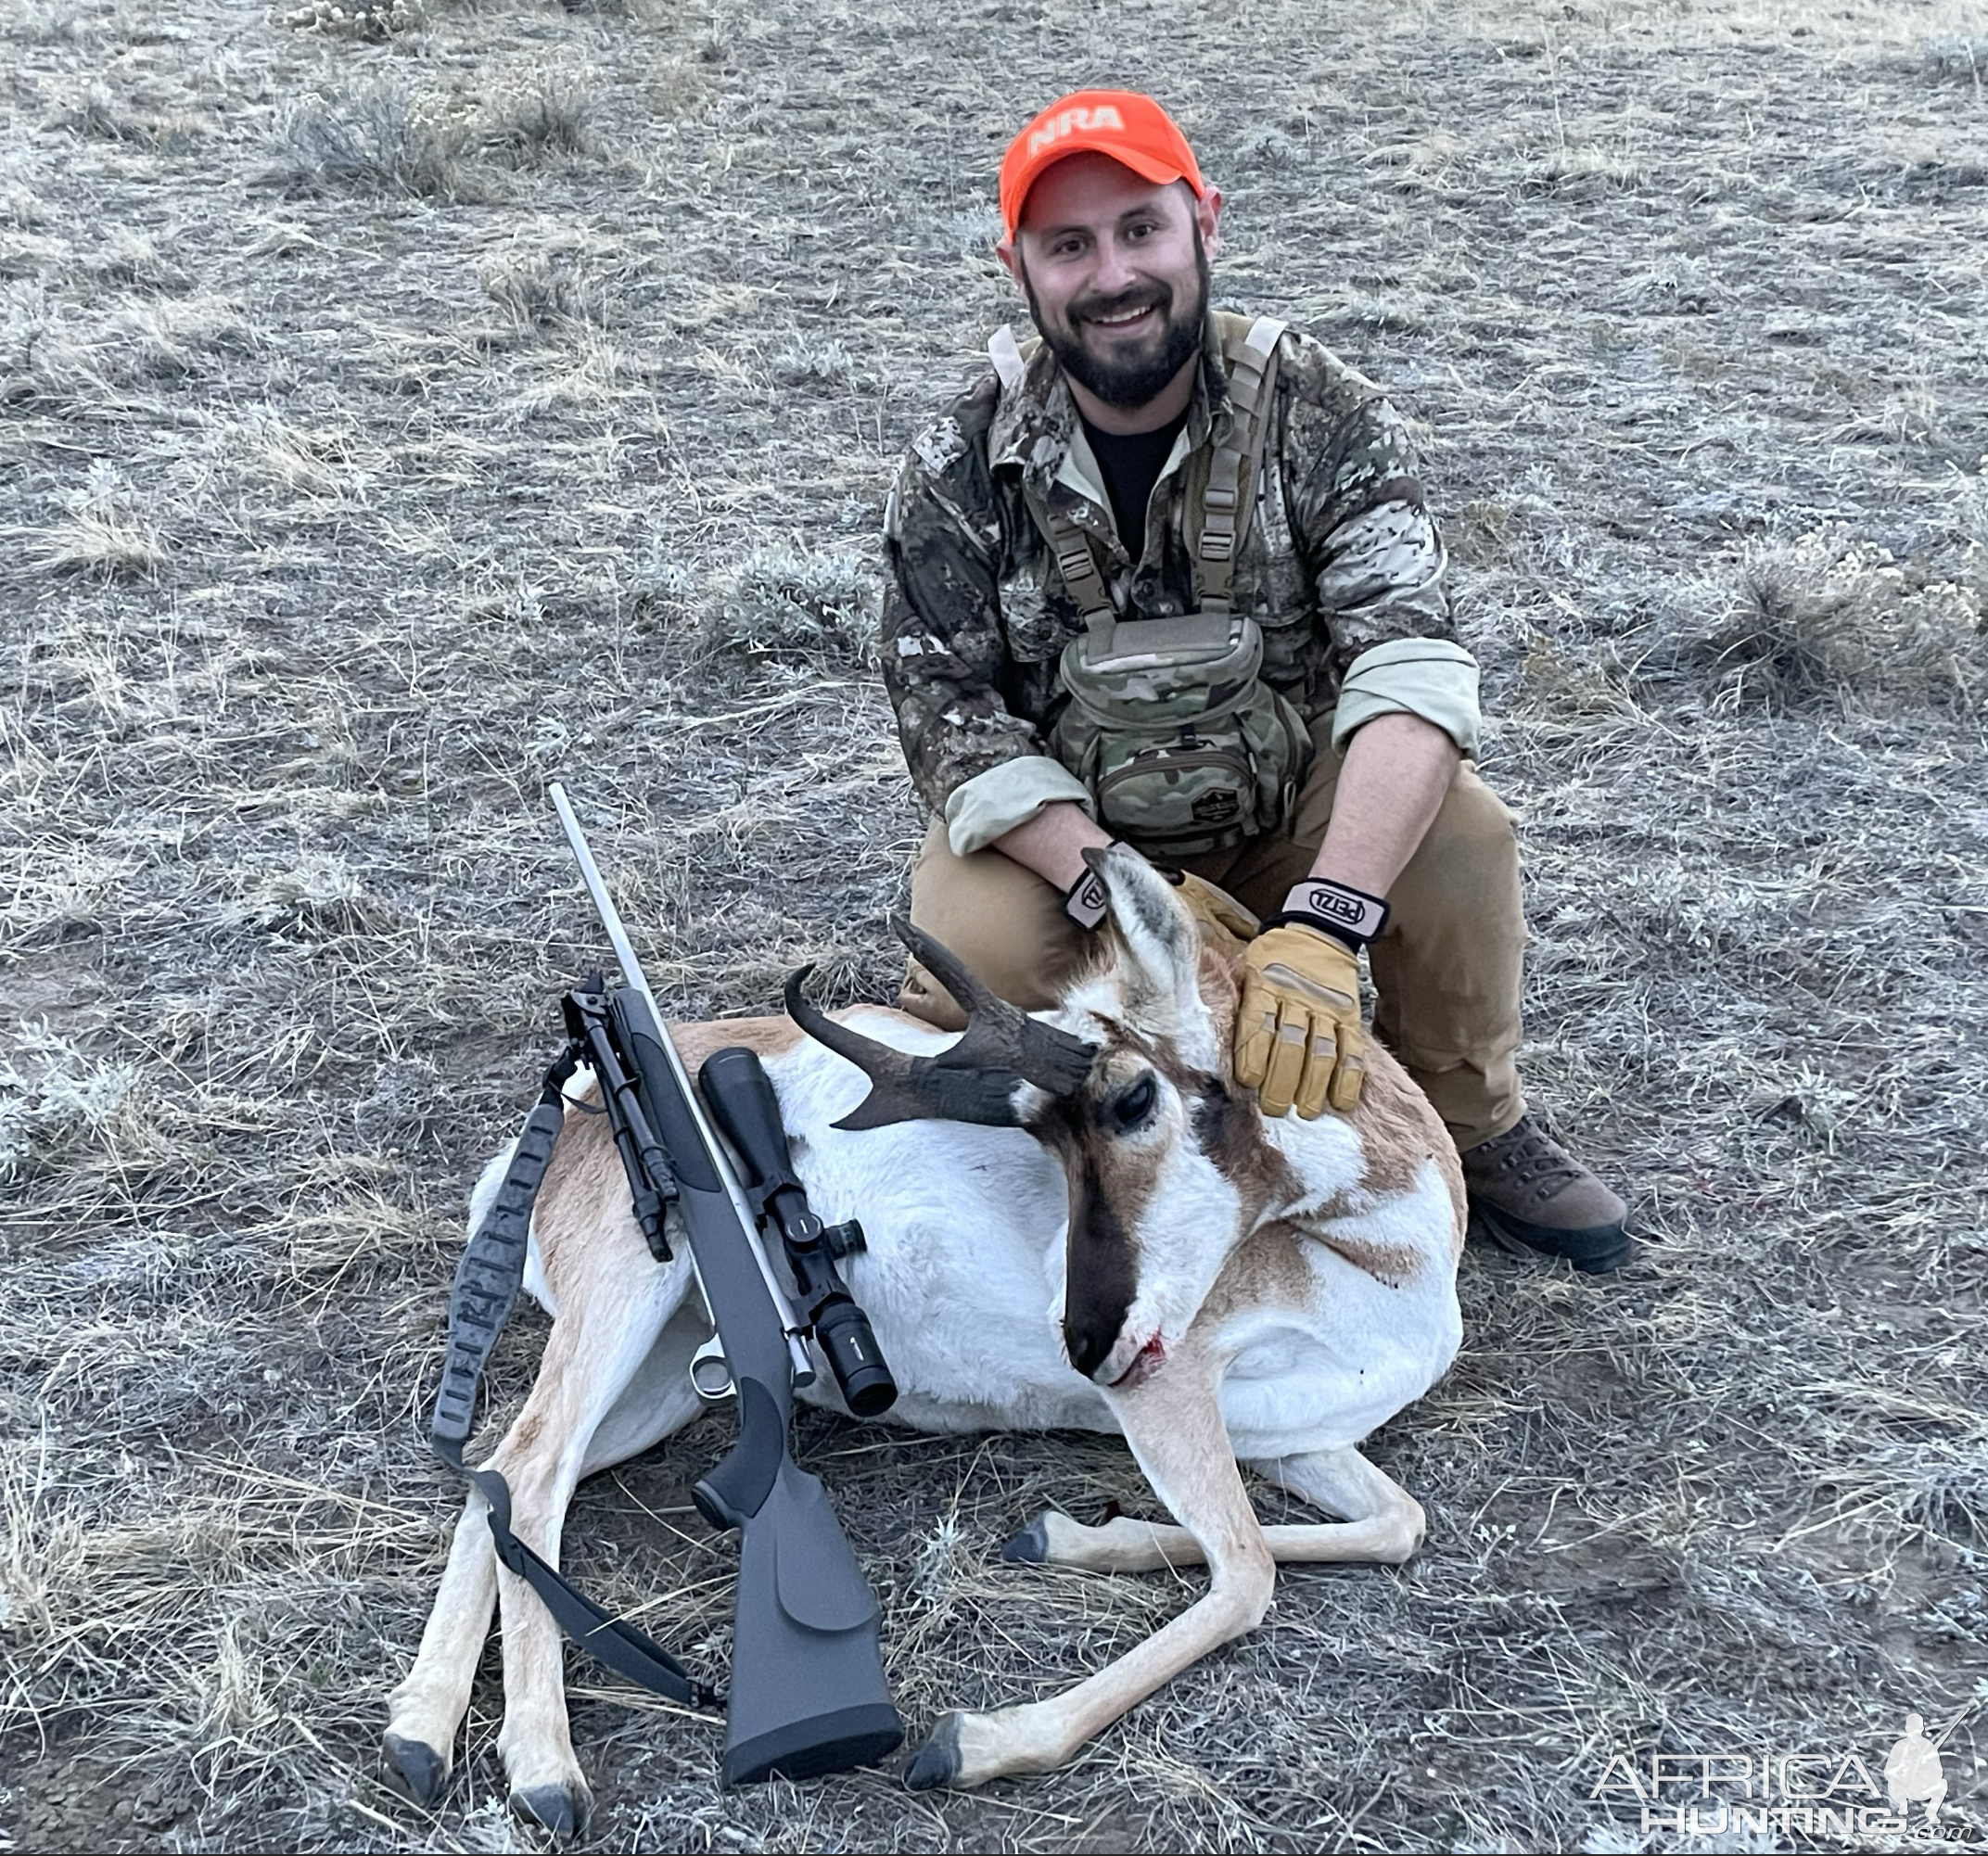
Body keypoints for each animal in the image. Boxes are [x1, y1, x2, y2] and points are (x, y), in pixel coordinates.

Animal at [388, 846, 1471, 1827]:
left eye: (1128, 1100)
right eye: (1057, 1132)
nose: (1083, 1342)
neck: (1384, 1267)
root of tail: (568, 1114)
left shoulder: (1282, 1435)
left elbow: (1395, 1521)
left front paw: (1068, 1537)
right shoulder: (1166, 1398)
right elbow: (1245, 1574)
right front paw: (974, 1740)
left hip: (669, 1378)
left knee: (506, 1472)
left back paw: (419, 1733)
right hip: (627, 1304)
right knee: (534, 1474)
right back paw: (542, 1770)